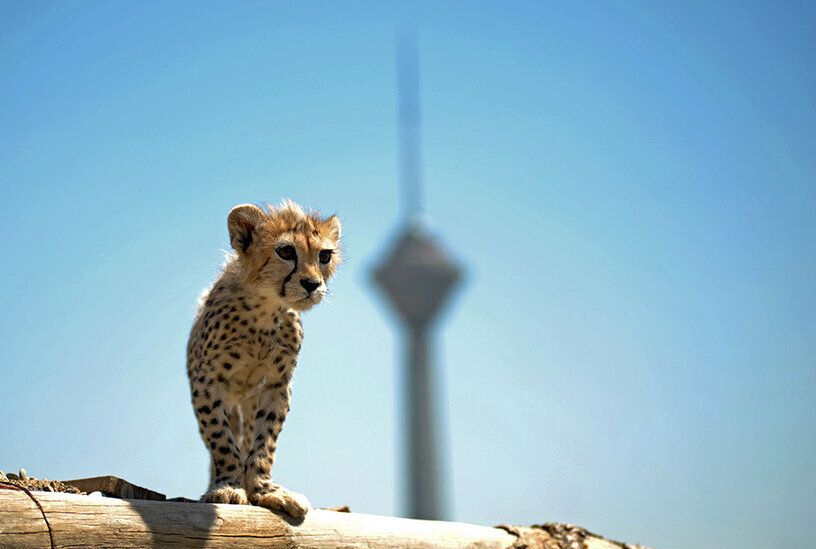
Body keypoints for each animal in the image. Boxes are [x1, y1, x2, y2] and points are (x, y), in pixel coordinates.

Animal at [186, 200, 341, 518]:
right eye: (286, 252)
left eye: (324, 255)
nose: (311, 284)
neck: (265, 310)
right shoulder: (207, 382)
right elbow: (220, 438)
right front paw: (229, 486)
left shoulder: (277, 386)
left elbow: (264, 443)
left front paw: (264, 489)